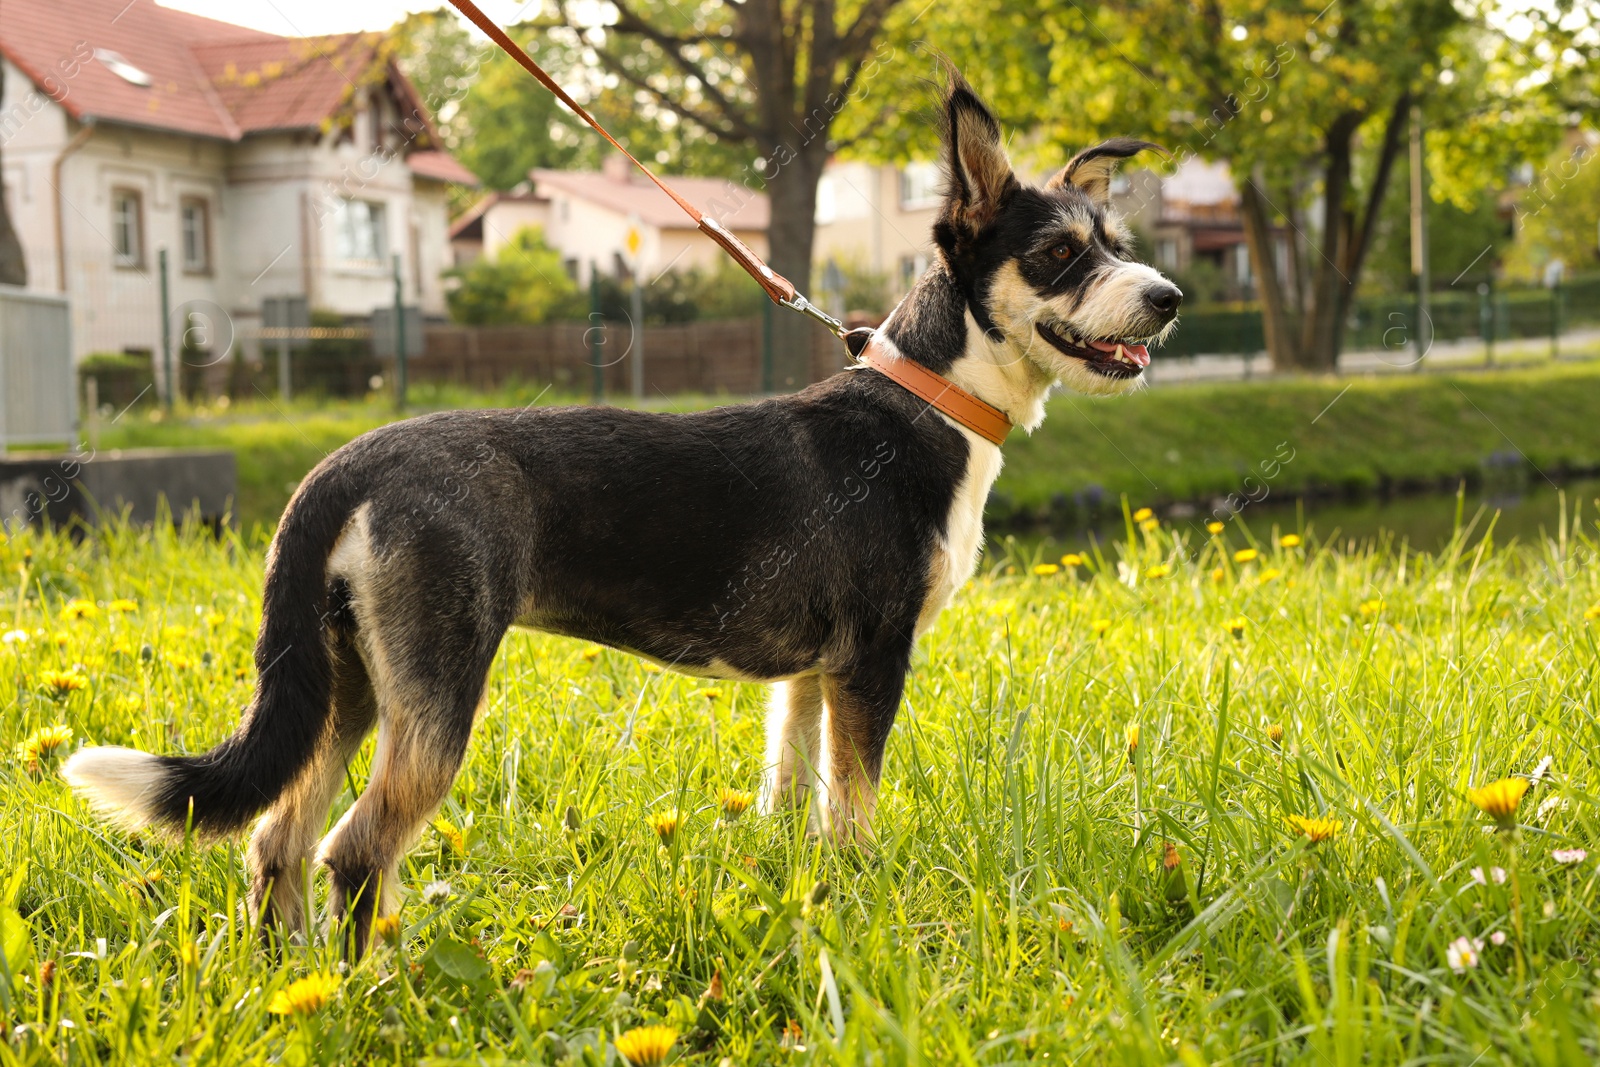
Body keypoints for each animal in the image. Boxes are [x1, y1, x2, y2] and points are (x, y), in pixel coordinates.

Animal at [62, 68, 1184, 953]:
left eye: (1116, 241)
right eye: (1058, 253)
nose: (1169, 296)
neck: (930, 400)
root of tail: (352, 459)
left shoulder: (809, 679)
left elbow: (795, 803)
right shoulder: (872, 660)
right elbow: (855, 815)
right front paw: (864, 913)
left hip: (344, 686)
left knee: (275, 842)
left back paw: (289, 988)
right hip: (432, 699)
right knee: (353, 851)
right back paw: (371, 989)